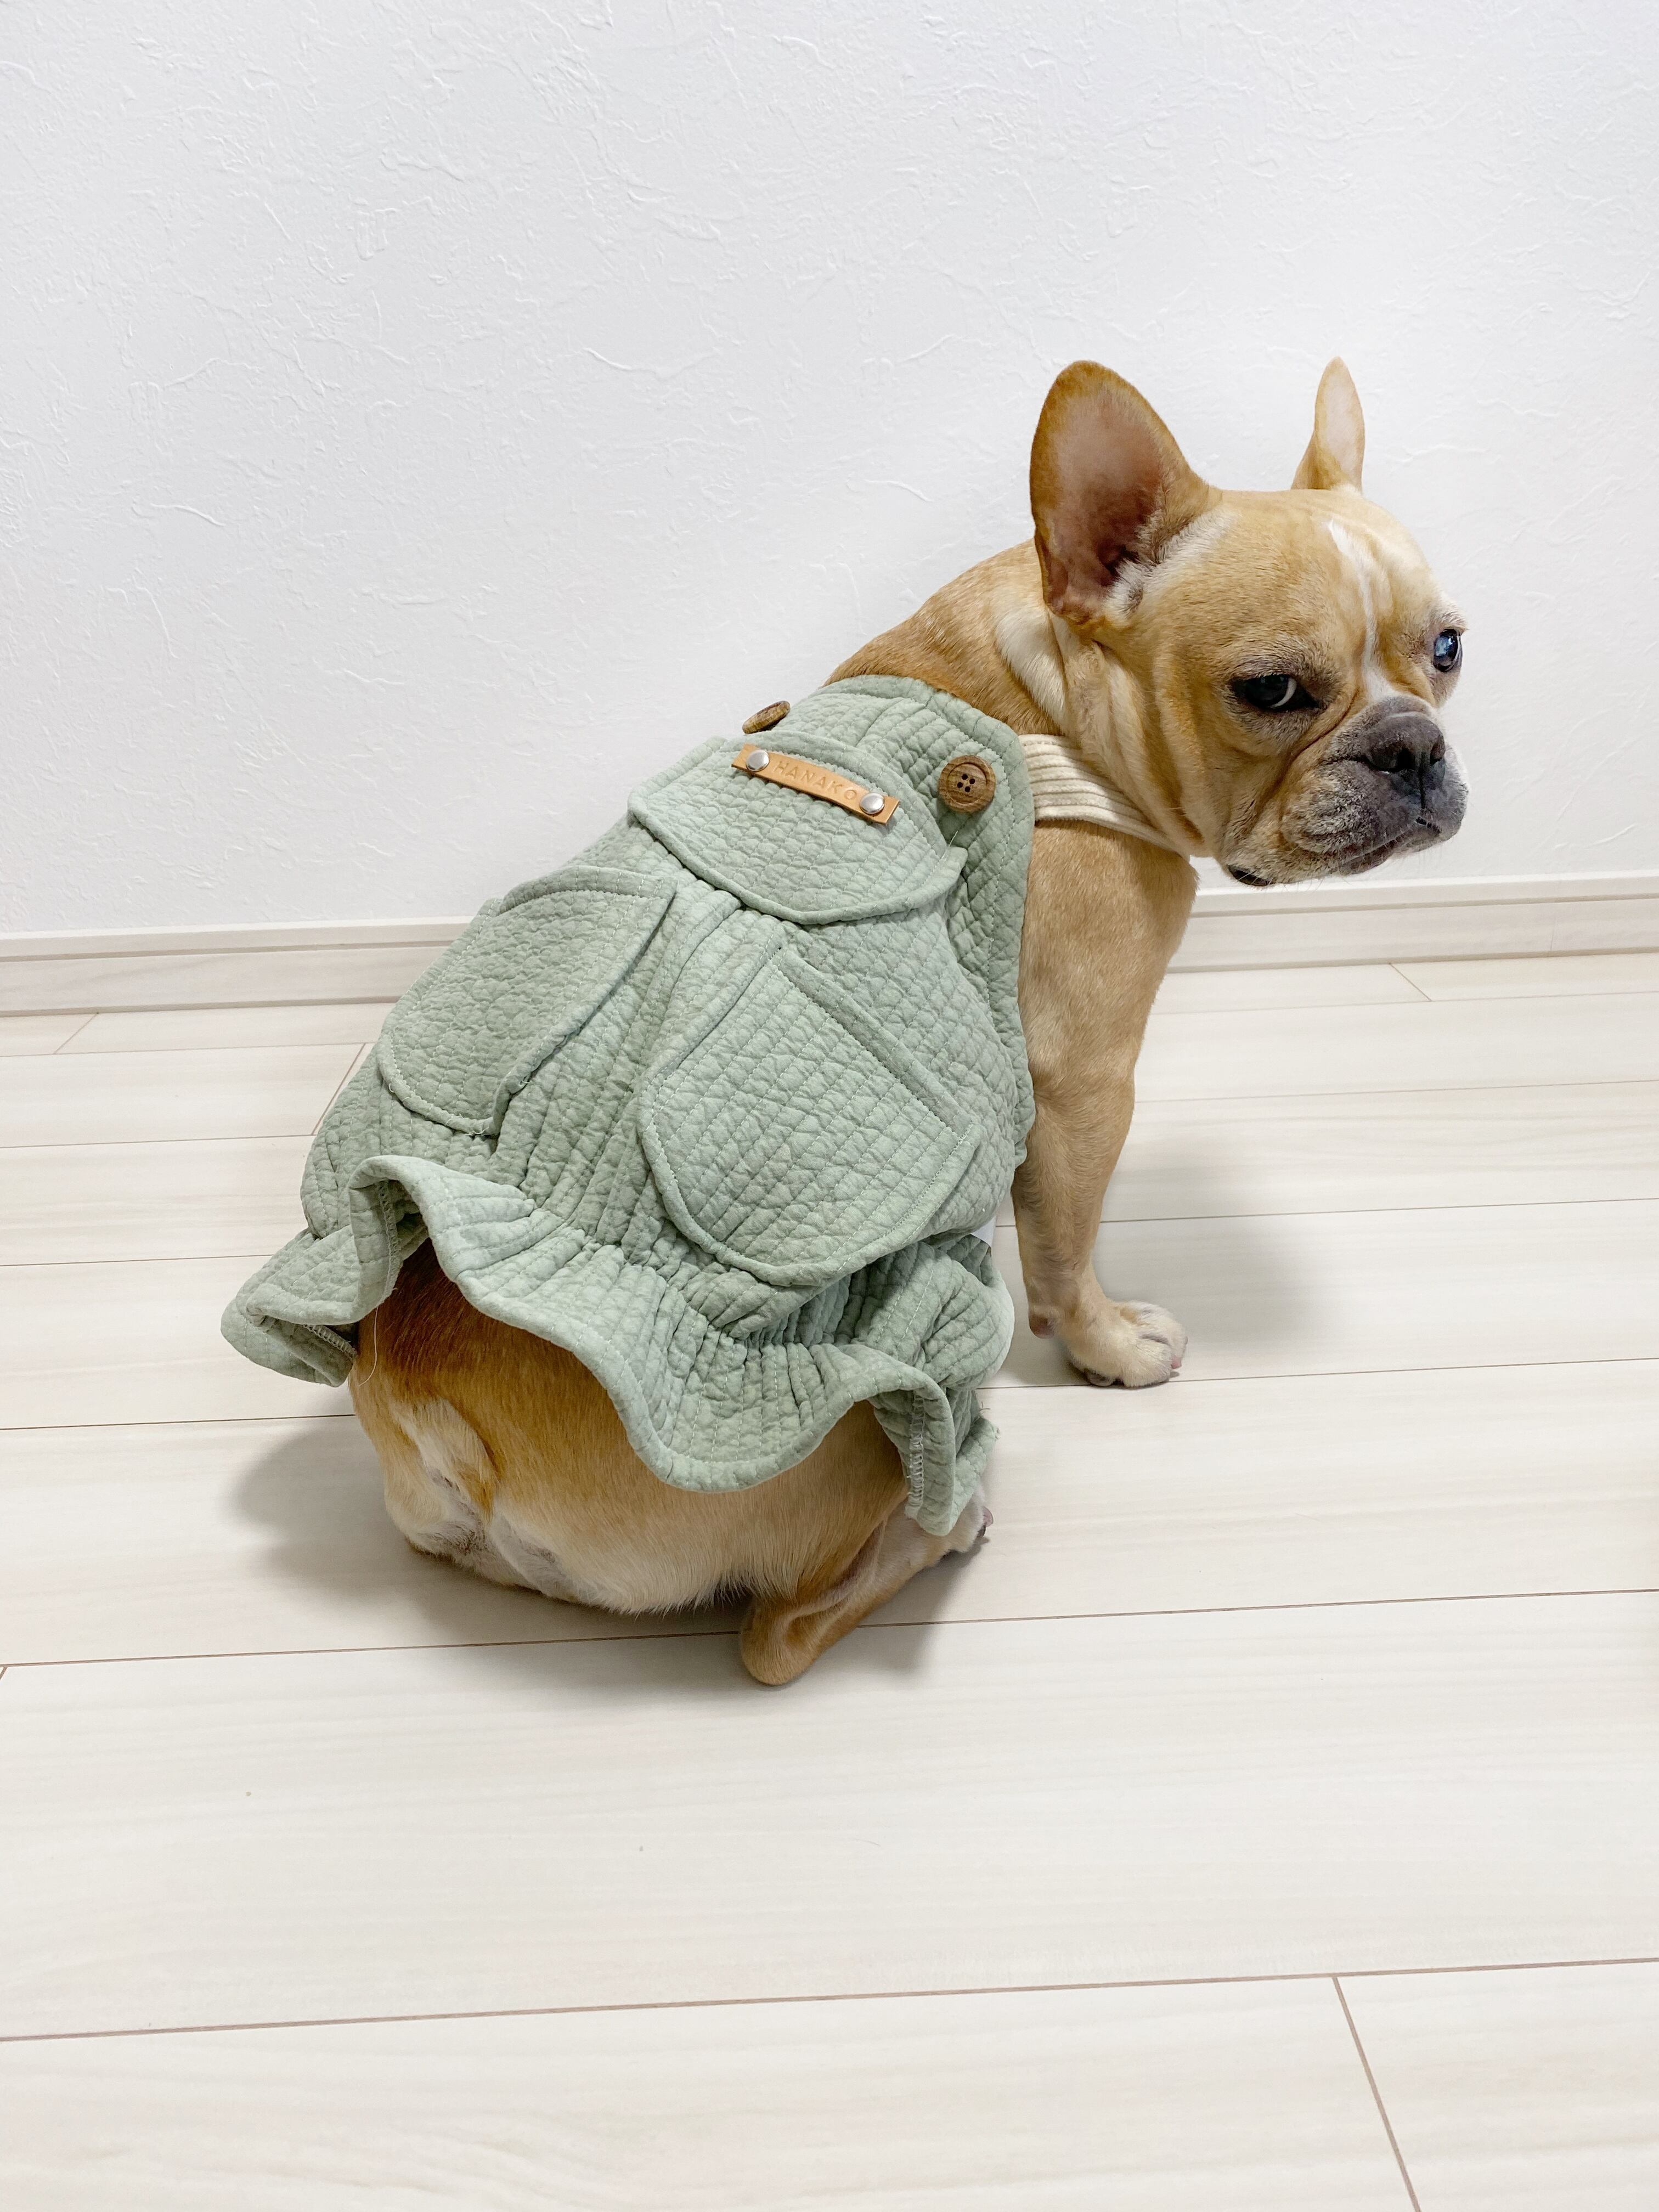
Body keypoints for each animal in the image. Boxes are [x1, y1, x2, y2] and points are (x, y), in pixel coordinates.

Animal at [351, 358, 1466, 1683]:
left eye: (1448, 650)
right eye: (1273, 692)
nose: (1414, 747)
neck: (1047, 701)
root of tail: (436, 1417)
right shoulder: (1085, 1084)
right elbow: (1067, 1251)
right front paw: (1108, 1350)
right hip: (885, 1392)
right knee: (780, 1631)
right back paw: (953, 1522)